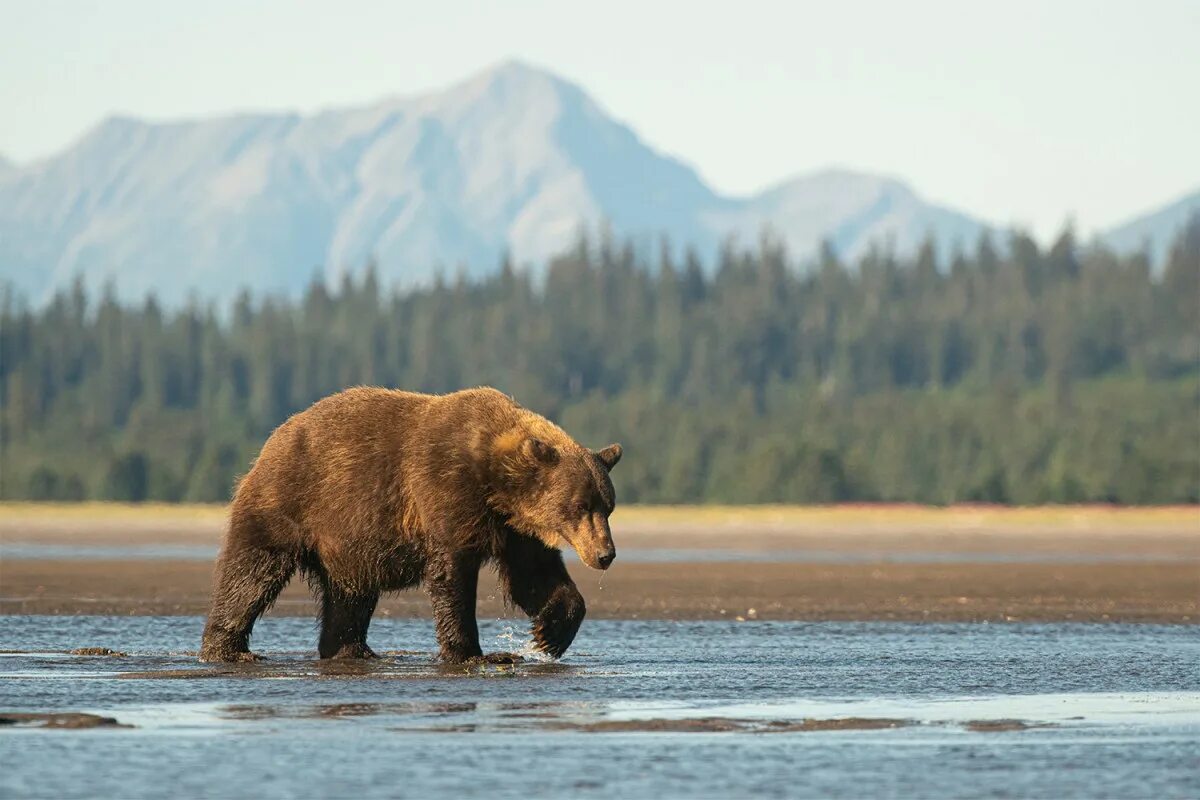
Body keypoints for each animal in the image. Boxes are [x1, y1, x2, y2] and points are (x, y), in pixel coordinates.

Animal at [195, 386, 619, 662]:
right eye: (580, 505)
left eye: (608, 506)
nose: (605, 554)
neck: (495, 481)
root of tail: (274, 437)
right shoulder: (445, 490)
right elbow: (452, 576)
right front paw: (474, 653)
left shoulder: (513, 528)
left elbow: (533, 576)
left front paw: (549, 634)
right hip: (291, 501)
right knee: (252, 572)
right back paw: (229, 650)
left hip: (348, 541)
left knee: (350, 594)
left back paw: (352, 649)